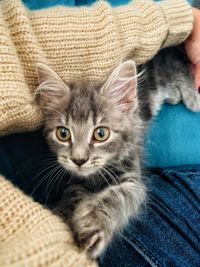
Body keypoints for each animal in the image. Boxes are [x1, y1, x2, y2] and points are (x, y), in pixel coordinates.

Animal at [36, 47, 200, 260]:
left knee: (179, 64)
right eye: (63, 133)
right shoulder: (75, 181)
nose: (79, 160)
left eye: (101, 134)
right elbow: (72, 194)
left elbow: (115, 197)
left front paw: (92, 224)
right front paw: (61, 212)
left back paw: (192, 97)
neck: (95, 177)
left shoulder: (134, 181)